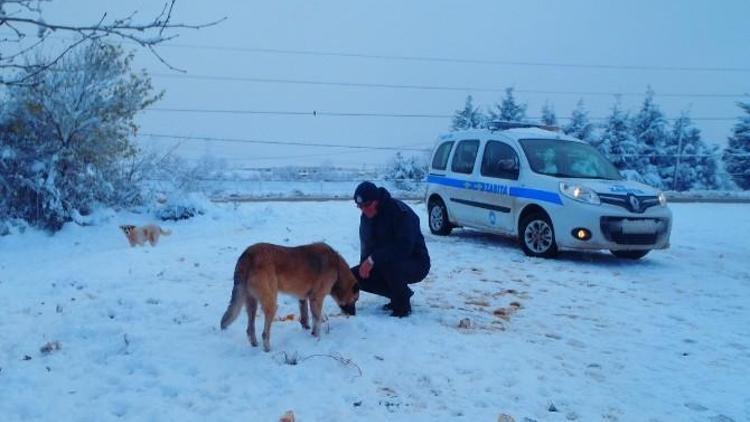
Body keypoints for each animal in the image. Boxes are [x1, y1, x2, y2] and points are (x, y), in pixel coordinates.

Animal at [220, 242, 362, 352]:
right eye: (355, 300)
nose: (354, 314)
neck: (337, 268)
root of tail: (248, 255)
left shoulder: (303, 298)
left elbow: (305, 318)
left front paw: (307, 331)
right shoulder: (316, 298)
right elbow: (317, 320)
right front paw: (316, 337)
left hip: (251, 304)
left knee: (250, 329)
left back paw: (255, 345)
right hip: (271, 304)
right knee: (264, 333)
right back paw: (268, 349)